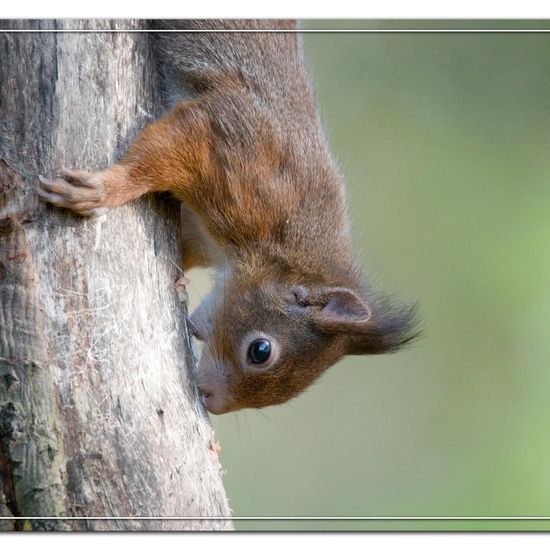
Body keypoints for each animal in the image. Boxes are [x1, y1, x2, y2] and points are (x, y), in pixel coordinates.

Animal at [37, 21, 418, 416]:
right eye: (260, 351)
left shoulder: (199, 232)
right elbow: (163, 153)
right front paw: (104, 189)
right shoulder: (233, 146)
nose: (213, 402)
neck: (285, 248)